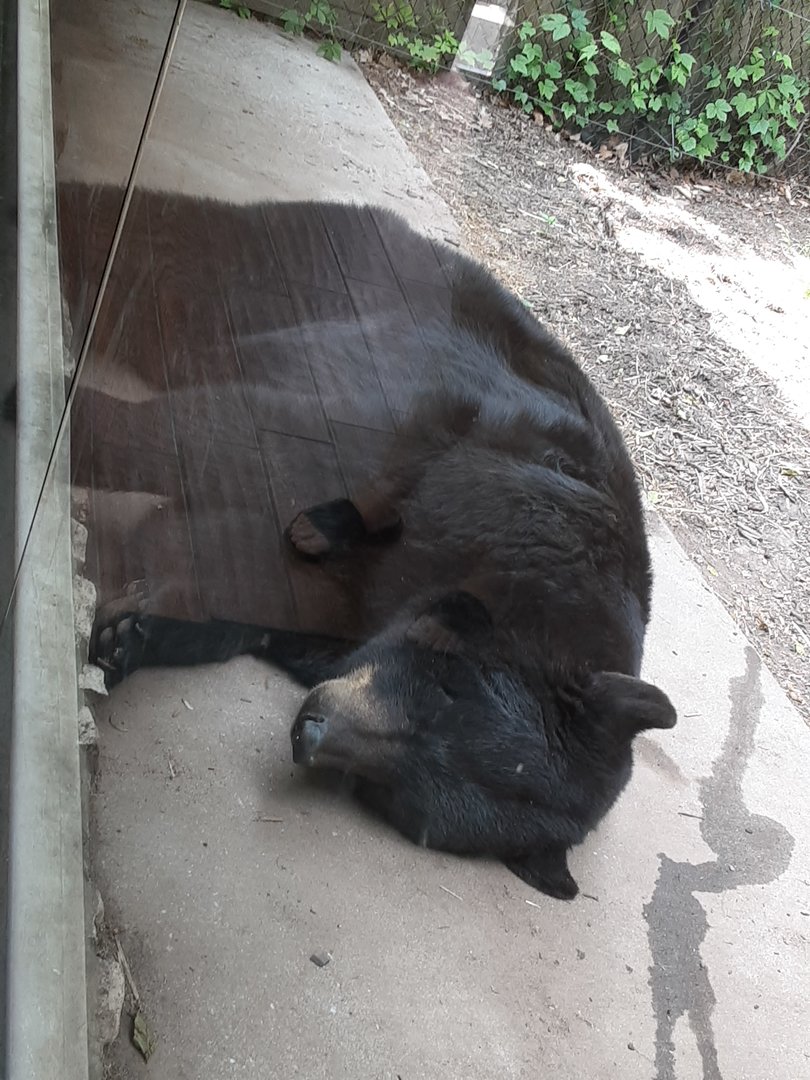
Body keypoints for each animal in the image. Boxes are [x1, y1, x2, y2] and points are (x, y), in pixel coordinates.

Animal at [90, 202, 677, 901]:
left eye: (402, 798)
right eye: (447, 694)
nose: (310, 731)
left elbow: (249, 617)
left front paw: (133, 638)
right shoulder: (487, 484)